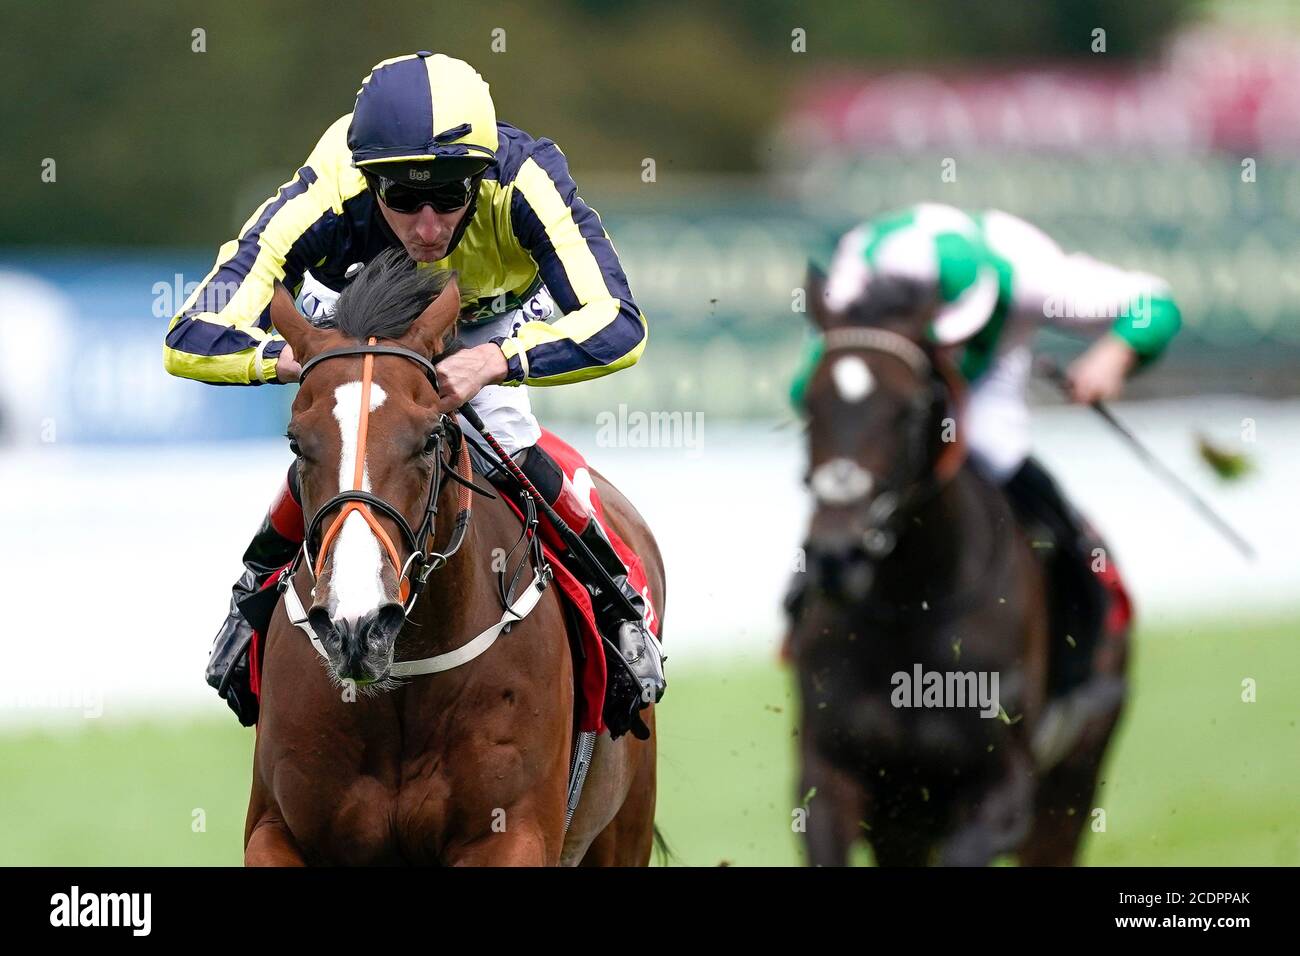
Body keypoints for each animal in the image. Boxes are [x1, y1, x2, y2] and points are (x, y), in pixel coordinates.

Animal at [785, 274, 1133, 868]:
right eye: (810, 404)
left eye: (908, 408)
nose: (837, 554)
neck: (913, 604)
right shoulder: (834, 777)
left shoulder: (1002, 792)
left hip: (1073, 781)